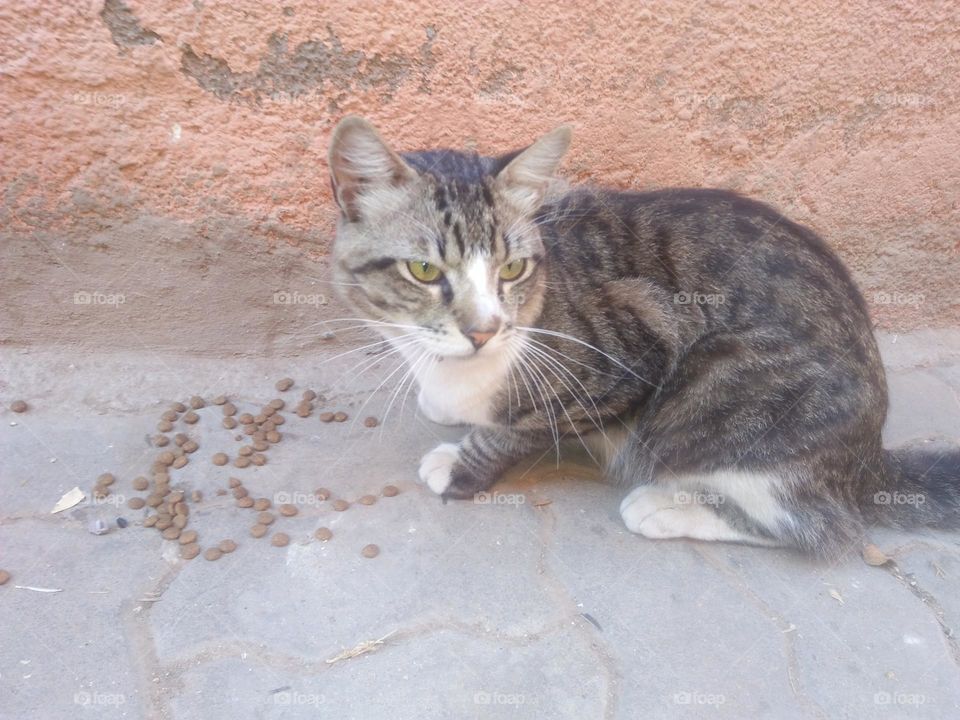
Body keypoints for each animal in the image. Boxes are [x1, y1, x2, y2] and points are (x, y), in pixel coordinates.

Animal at [326, 118, 956, 556]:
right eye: (424, 271)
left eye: (512, 269)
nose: (484, 331)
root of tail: (869, 463)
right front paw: (443, 398)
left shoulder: (633, 346)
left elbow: (515, 429)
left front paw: (462, 464)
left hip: (716, 393)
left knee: (816, 524)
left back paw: (666, 506)